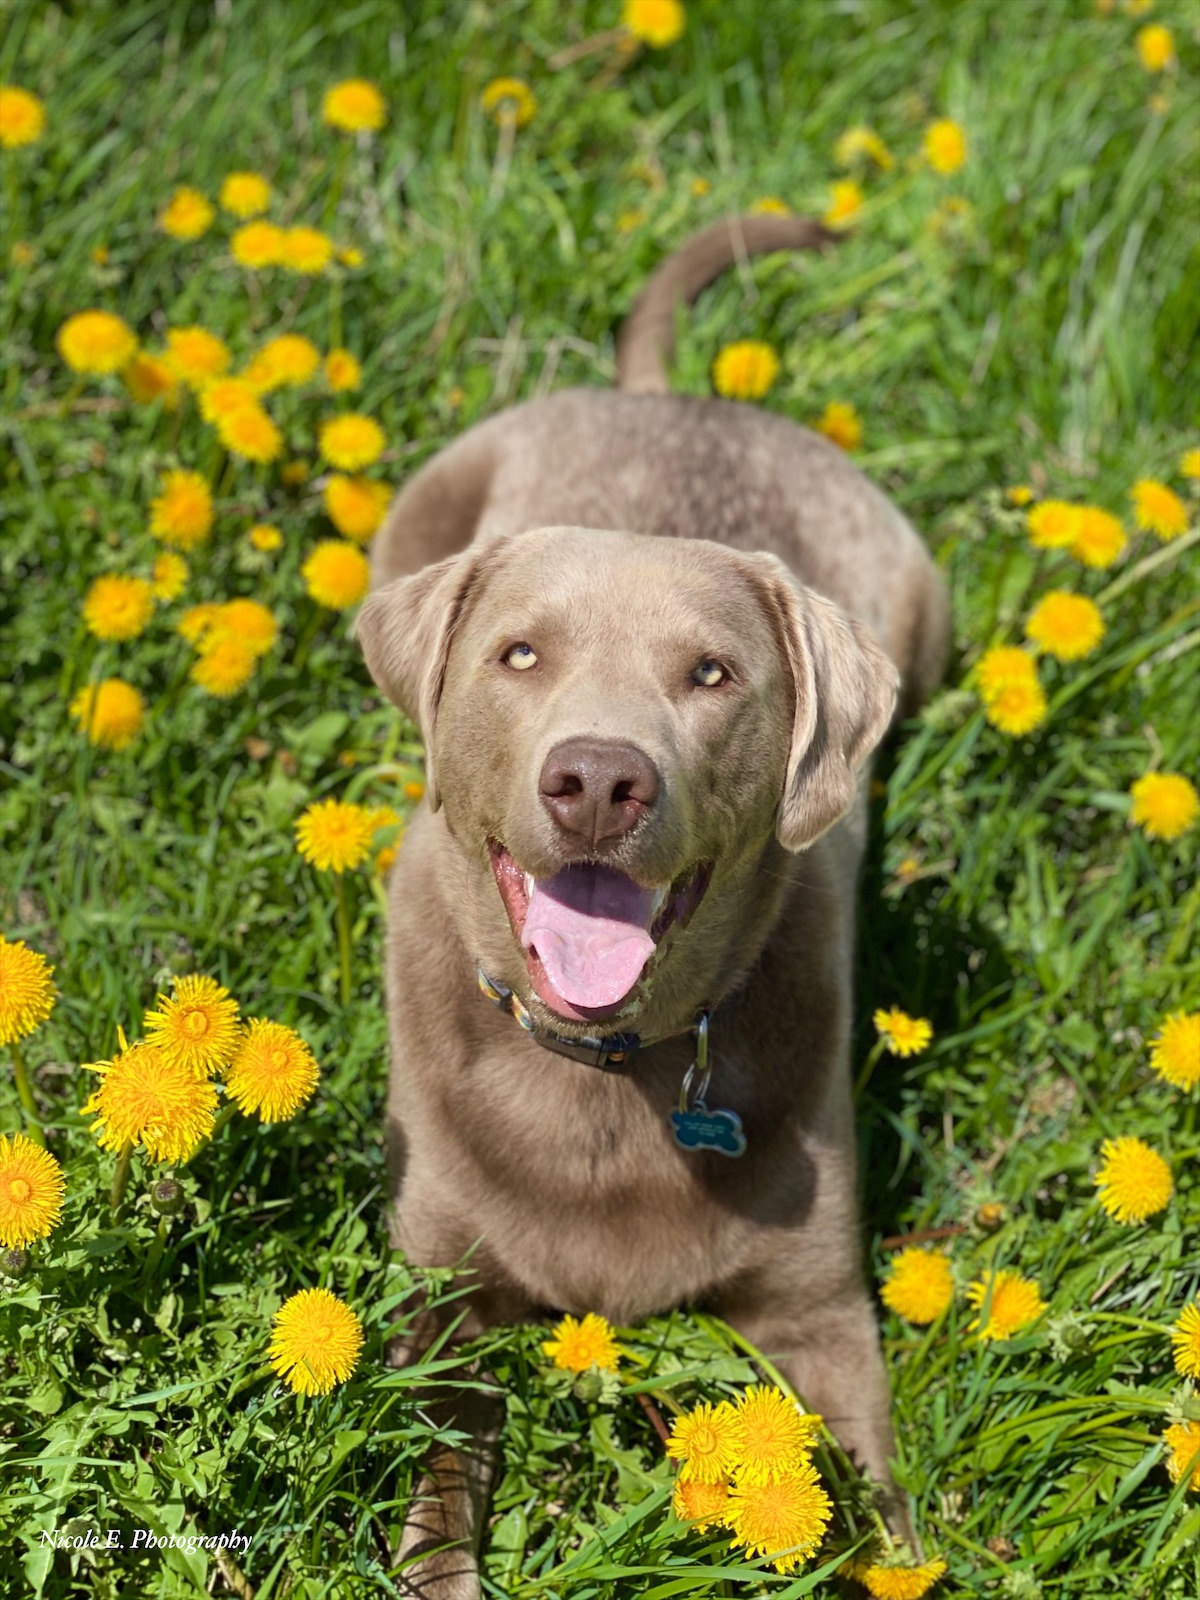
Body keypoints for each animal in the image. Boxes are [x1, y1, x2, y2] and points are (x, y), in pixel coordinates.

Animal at [355, 216, 947, 1600]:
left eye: (713, 673)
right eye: (519, 653)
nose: (598, 779)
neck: (606, 1066)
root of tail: (674, 393)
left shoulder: (819, 1314)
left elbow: (871, 1511)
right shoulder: (442, 1286)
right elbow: (438, 1475)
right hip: (424, 504)